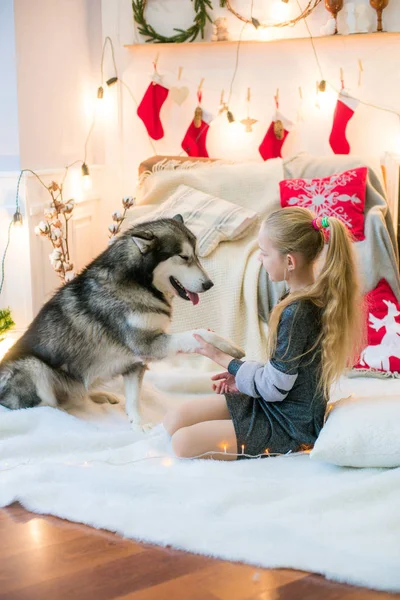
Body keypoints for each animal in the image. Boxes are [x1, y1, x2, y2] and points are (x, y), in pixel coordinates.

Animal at [0, 218, 245, 428]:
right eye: (184, 257)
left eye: (196, 255)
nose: (209, 284)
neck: (139, 283)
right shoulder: (147, 344)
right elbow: (198, 333)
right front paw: (229, 345)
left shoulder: (135, 361)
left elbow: (134, 398)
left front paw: (137, 422)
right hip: (34, 367)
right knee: (49, 406)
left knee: (79, 388)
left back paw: (96, 395)